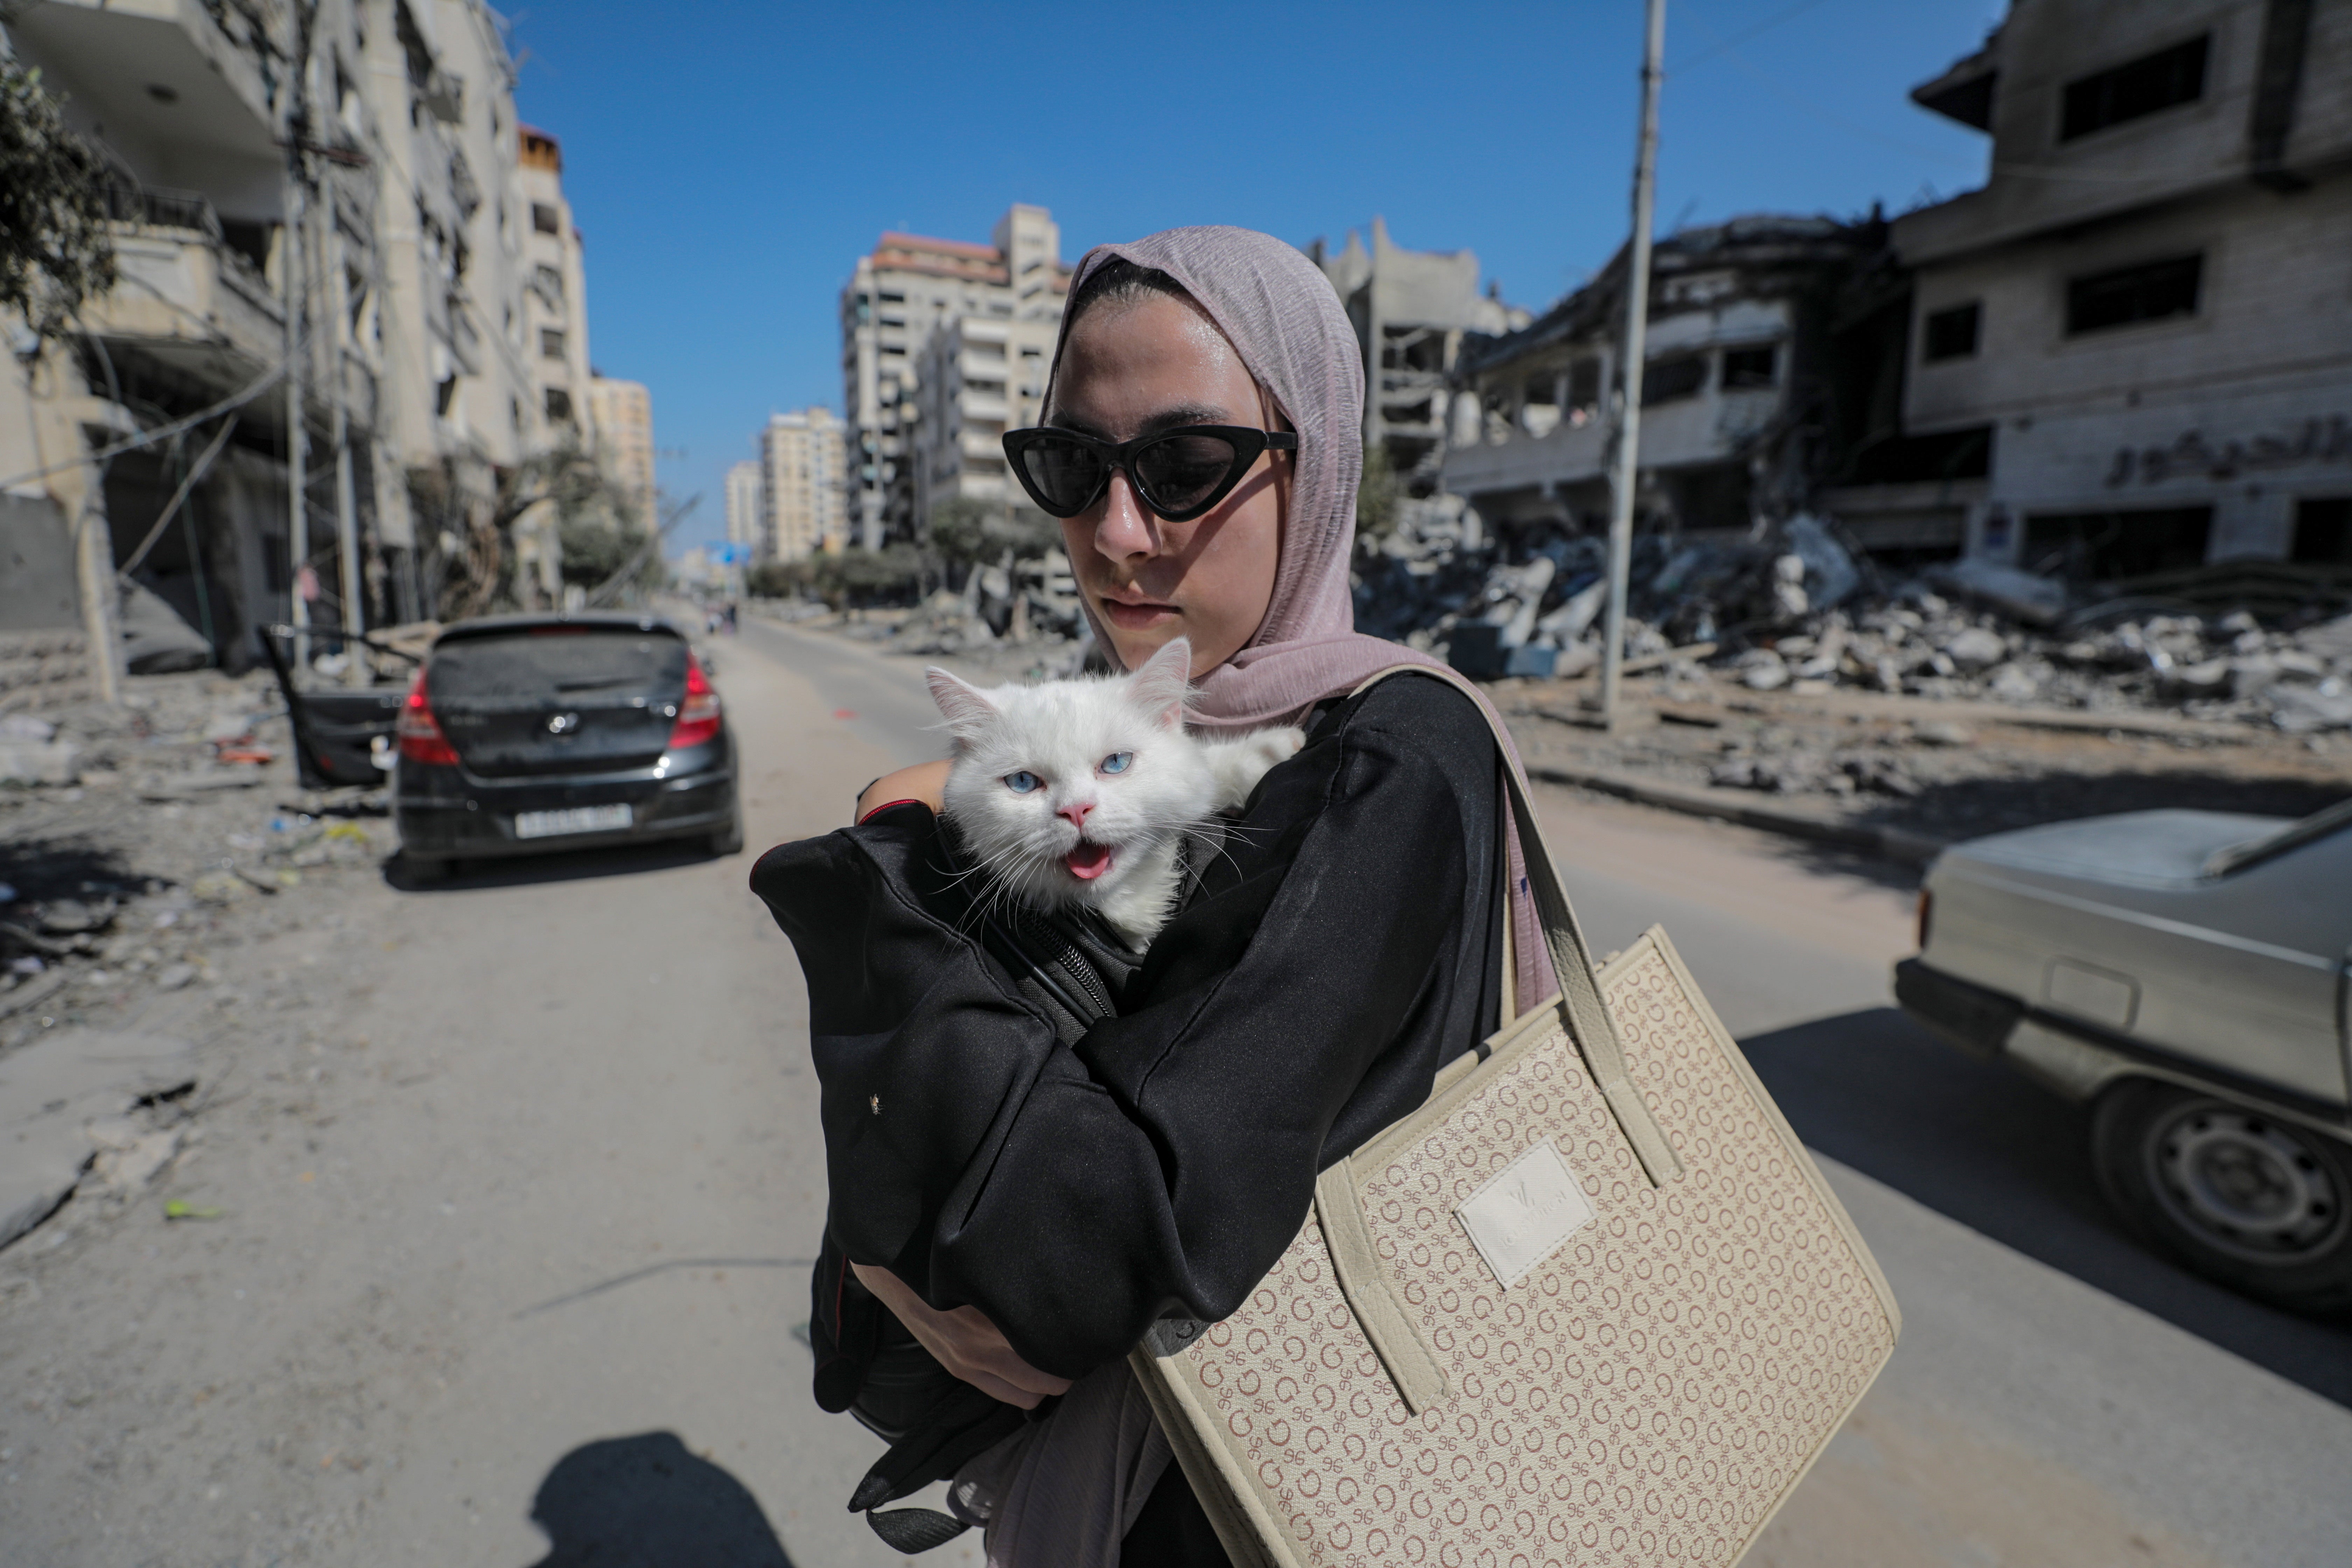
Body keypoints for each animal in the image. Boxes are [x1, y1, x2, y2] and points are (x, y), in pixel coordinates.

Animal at [926, 635, 1308, 950]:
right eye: (1023, 782)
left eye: (1115, 763)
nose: (1076, 810)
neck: (1122, 901)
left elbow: (1209, 769)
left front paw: (1273, 749)